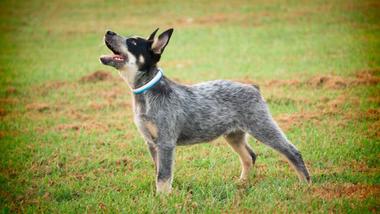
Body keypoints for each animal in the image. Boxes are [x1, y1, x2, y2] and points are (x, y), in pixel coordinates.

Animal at [99, 28, 310, 194]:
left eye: (132, 42)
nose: (108, 32)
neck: (147, 93)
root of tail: (253, 87)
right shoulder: (152, 144)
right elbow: (159, 172)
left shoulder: (166, 143)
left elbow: (163, 176)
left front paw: (162, 199)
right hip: (233, 135)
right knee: (249, 156)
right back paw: (241, 183)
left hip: (262, 127)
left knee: (292, 152)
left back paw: (306, 184)